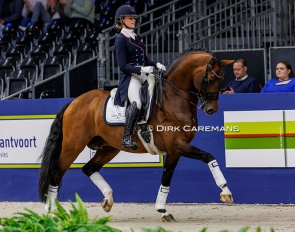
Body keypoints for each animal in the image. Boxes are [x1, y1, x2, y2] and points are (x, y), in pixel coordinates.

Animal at [38, 50, 235, 221]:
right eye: (210, 79)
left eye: (222, 79)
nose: (211, 109)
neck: (173, 99)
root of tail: (74, 102)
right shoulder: (178, 146)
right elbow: (209, 156)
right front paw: (225, 192)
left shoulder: (175, 151)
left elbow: (166, 178)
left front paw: (162, 210)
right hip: (73, 146)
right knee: (56, 173)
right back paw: (52, 211)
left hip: (109, 148)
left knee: (89, 168)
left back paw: (108, 200)